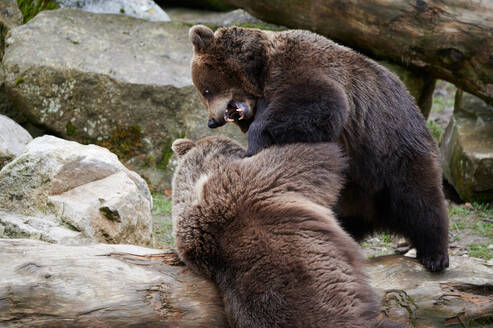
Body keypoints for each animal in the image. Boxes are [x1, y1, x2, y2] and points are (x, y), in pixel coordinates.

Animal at [188, 25, 450, 272]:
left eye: (205, 90)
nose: (212, 121)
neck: (260, 70)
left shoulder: (301, 68)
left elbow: (320, 104)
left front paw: (252, 146)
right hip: (351, 188)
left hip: (392, 154)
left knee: (420, 201)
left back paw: (435, 255)